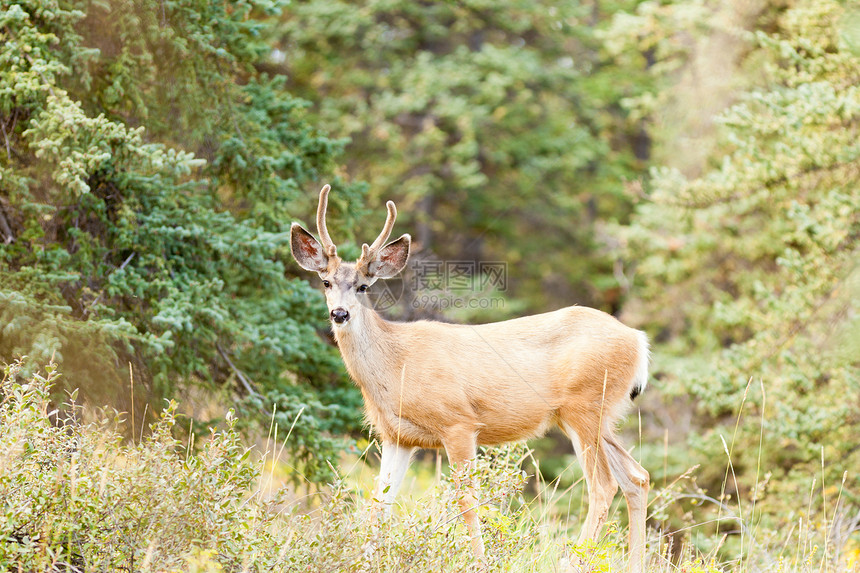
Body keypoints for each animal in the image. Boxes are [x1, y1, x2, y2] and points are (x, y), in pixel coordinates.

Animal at [290, 185, 652, 568]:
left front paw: (480, 562)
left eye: (362, 286)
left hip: (584, 406)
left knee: (603, 485)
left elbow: (467, 501)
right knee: (636, 477)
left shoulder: (458, 423)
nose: (339, 313)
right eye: (326, 282)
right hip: (598, 415)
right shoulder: (396, 436)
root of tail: (638, 340)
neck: (396, 364)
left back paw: (570, 562)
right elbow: (380, 503)